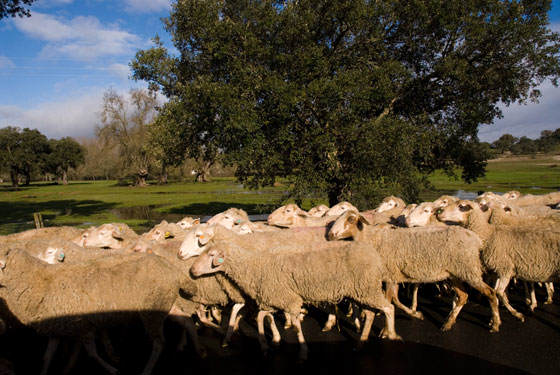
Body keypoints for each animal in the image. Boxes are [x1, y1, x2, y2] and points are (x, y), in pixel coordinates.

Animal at [0, 248, 195, 374]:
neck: (40, 281)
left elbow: (93, 354)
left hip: (152, 311)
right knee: (187, 321)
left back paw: (147, 370)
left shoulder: (84, 326)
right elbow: (47, 357)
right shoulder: (58, 327)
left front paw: (113, 369)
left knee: (159, 342)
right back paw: (195, 348)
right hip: (164, 305)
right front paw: (49, 371)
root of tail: (172, 269)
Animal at [190, 241, 400, 362]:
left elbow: (297, 325)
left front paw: (302, 351)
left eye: (211, 255)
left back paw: (391, 335)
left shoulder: (289, 299)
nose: (191, 271)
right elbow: (262, 317)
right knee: (372, 313)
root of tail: (375, 256)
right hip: (362, 291)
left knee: (388, 308)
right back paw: (361, 343)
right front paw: (267, 344)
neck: (256, 266)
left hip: (367, 288)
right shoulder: (273, 298)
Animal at [326, 212, 500, 332]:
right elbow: (395, 301)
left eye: (350, 219)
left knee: (490, 293)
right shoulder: (393, 277)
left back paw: (495, 324)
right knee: (463, 296)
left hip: (469, 270)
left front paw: (386, 330)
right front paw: (415, 314)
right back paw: (448, 323)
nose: (330, 235)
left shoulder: (389, 274)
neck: (372, 239)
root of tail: (476, 239)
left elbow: (391, 301)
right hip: (455, 273)